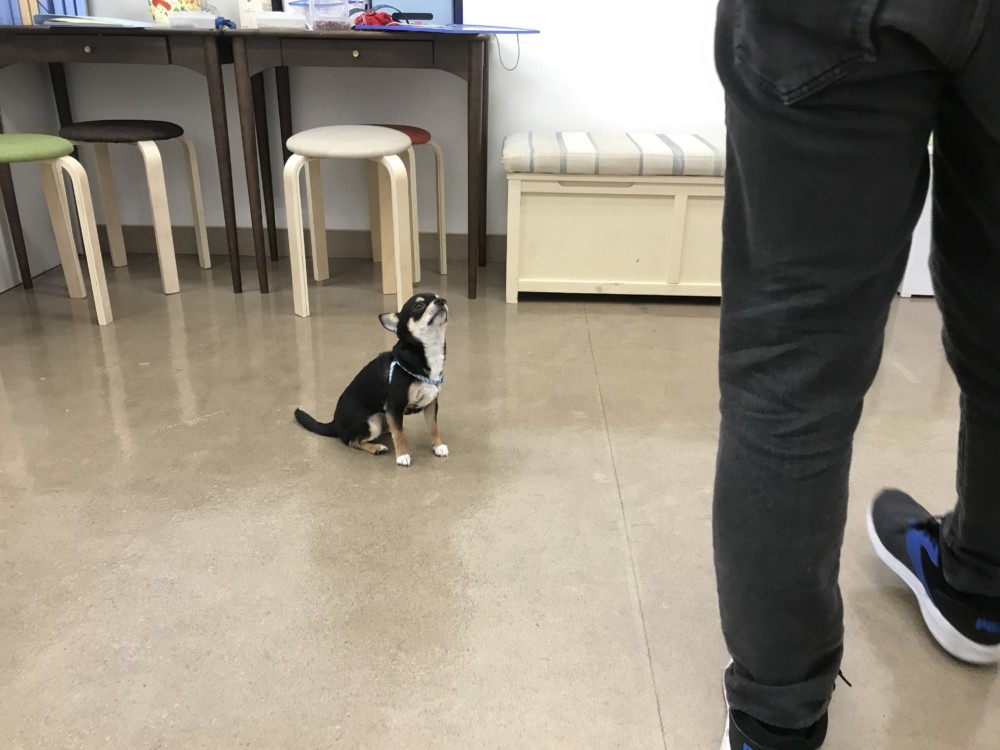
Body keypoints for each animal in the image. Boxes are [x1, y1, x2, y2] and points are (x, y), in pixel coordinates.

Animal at [294, 293, 449, 467]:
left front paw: (438, 446)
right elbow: (399, 434)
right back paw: (376, 447)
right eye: (418, 306)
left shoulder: (431, 403)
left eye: (439, 297)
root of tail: (334, 423)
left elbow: (433, 427)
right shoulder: (394, 406)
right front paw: (402, 455)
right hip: (372, 423)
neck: (428, 352)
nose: (441, 301)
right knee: (351, 441)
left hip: (383, 418)